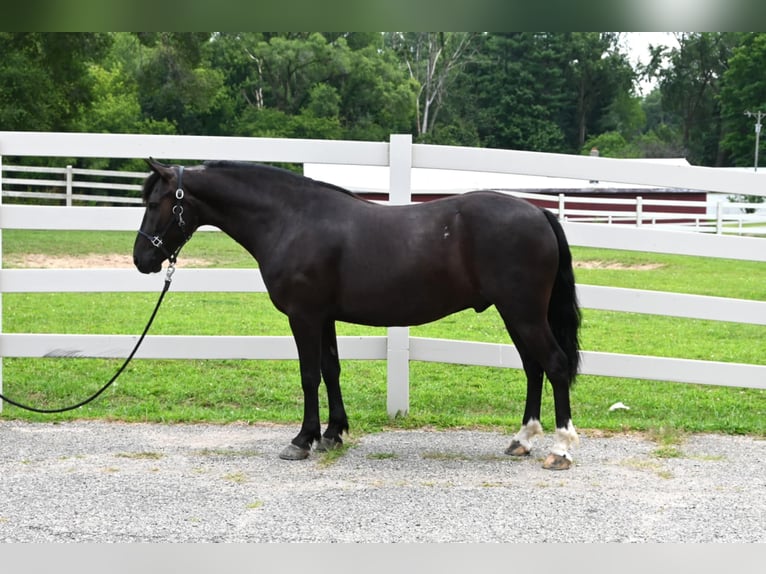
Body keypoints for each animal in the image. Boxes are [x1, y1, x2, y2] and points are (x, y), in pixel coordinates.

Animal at [135, 160, 584, 470]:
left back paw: (560, 449)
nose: (142, 259)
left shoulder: (304, 316)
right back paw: (522, 440)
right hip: (516, 314)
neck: (291, 220)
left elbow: (309, 375)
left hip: (523, 313)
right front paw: (333, 434)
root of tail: (539, 213)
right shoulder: (324, 317)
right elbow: (331, 369)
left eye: (156, 203)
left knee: (555, 365)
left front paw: (302, 440)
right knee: (533, 369)